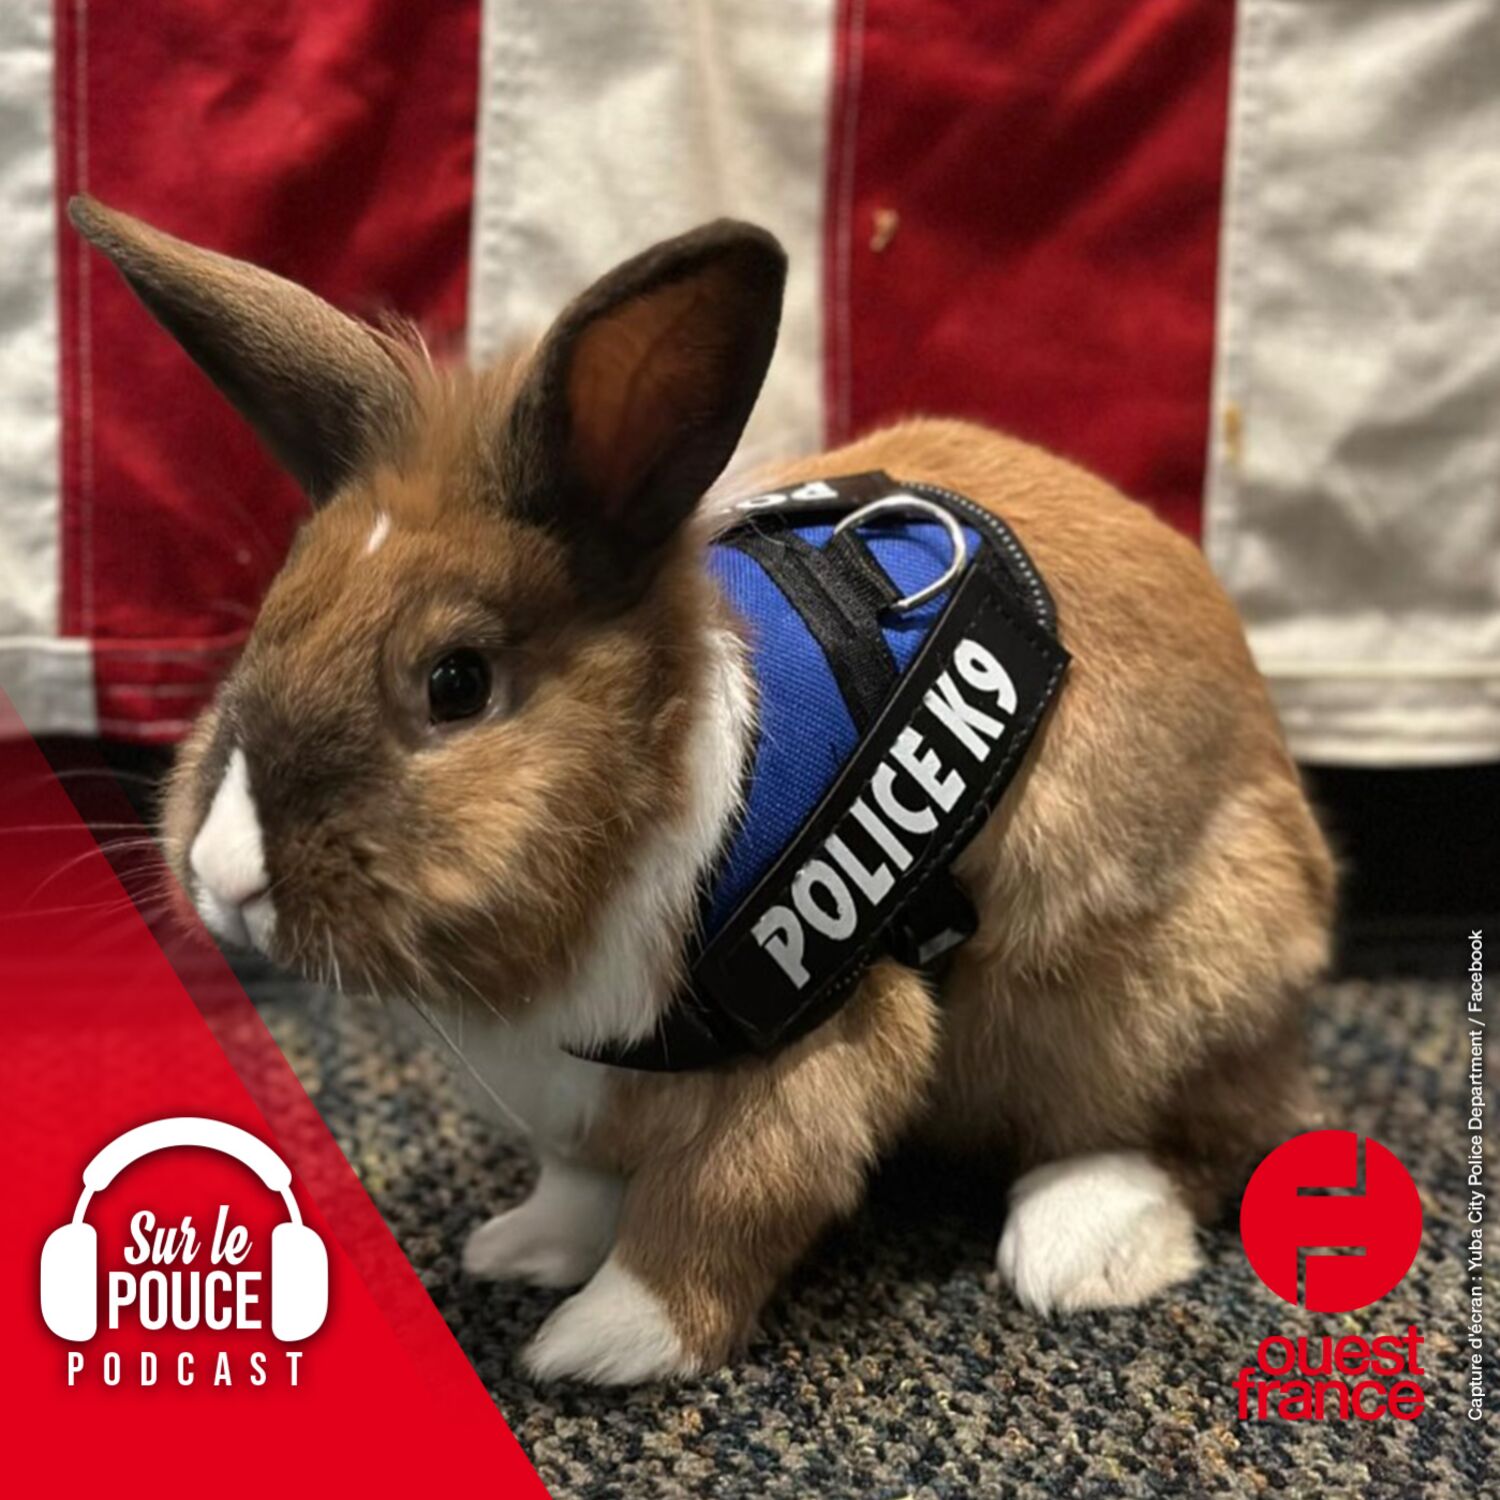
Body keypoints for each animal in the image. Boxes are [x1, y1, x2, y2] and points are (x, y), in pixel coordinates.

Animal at [72, 195, 1336, 1386]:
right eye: (270, 621)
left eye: (456, 683)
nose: (225, 875)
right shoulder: (579, 1090)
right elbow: (582, 1181)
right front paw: (522, 1249)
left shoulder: (812, 1057)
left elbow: (719, 1206)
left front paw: (602, 1341)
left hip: (1145, 990)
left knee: (1189, 1133)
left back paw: (1077, 1249)